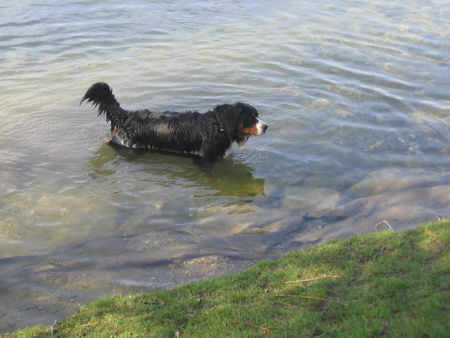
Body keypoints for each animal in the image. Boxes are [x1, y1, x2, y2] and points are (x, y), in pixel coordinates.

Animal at [81, 82, 268, 160]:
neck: (218, 126)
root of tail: (126, 115)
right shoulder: (205, 158)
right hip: (129, 145)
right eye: (250, 117)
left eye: (256, 114)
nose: (266, 126)